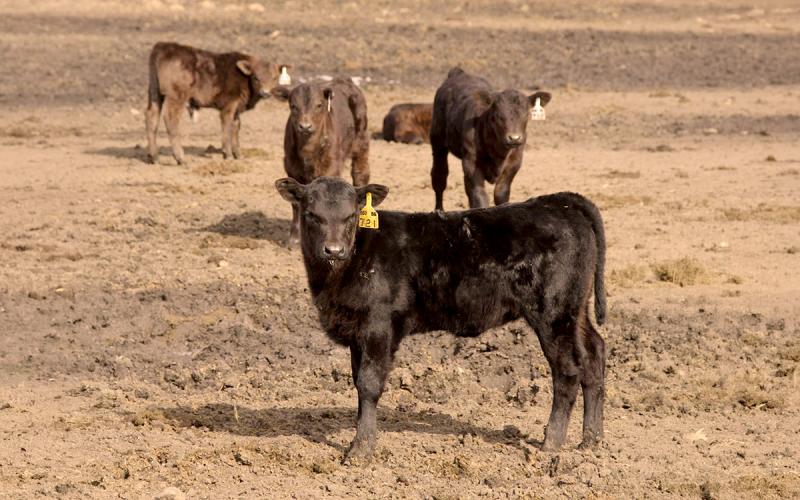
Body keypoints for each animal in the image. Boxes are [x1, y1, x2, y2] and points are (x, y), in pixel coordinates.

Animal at [145, 42, 288, 165]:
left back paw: (154, 157)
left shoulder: (236, 108)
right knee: (171, 118)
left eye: (274, 77)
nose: (265, 92)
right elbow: (227, 126)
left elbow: (236, 126)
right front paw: (227, 154)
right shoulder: (229, 105)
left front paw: (238, 154)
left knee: (152, 117)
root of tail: (163, 46)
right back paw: (180, 158)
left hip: (155, 93)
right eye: (256, 77)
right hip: (177, 96)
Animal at [271, 78, 370, 246]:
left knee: (360, 174)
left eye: (319, 105)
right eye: (293, 106)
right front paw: (294, 239)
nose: (305, 126)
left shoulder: (331, 167)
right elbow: (296, 204)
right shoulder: (291, 169)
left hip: (361, 142)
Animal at [274, 175, 606, 463]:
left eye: (351, 215)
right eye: (311, 214)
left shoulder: (378, 325)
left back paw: (552, 442)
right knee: (594, 355)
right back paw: (591, 440)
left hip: (553, 312)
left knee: (567, 370)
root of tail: (557, 201)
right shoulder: (357, 331)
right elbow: (357, 382)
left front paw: (360, 450)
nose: (334, 250)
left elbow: (369, 384)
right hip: (576, 310)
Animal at [430, 67, 551, 211]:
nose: (514, 138)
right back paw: (438, 209)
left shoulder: (515, 161)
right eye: (498, 115)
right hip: (437, 140)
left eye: (527, 114)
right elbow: (479, 195)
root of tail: (458, 73)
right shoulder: (471, 162)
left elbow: (501, 193)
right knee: (439, 177)